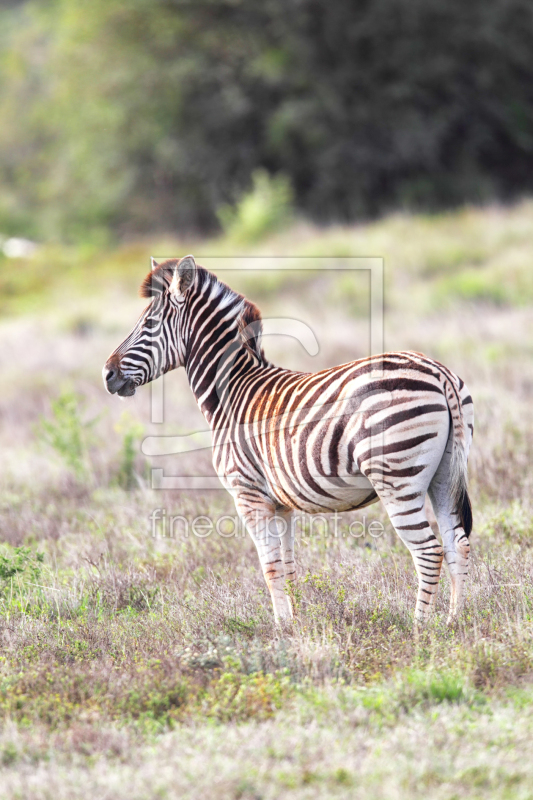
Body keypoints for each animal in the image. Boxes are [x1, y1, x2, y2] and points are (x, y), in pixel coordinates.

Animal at [104, 256, 474, 624]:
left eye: (149, 324)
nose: (107, 374)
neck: (232, 392)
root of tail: (438, 372)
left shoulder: (248, 495)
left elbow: (269, 567)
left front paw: (280, 628)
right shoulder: (281, 503)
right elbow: (288, 566)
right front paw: (297, 625)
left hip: (397, 479)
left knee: (429, 551)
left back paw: (420, 627)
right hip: (445, 474)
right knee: (457, 543)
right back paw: (455, 623)